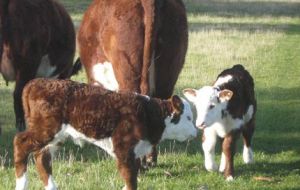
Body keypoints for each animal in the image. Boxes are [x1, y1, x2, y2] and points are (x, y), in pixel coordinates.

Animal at [14, 78, 197, 190]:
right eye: (188, 117)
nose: (196, 132)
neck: (148, 114)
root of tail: (35, 83)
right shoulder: (123, 148)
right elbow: (131, 178)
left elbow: (132, 176)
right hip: (46, 129)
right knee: (20, 143)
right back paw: (21, 183)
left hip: (56, 136)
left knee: (42, 158)